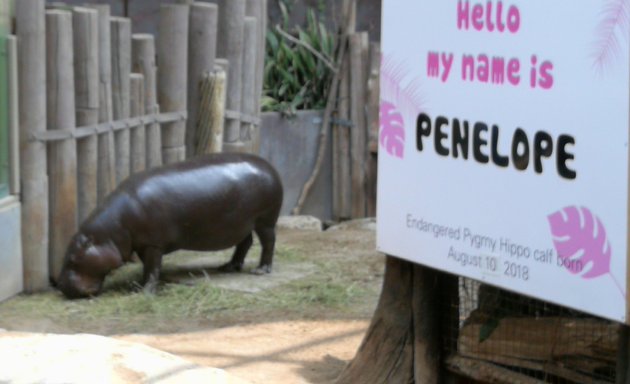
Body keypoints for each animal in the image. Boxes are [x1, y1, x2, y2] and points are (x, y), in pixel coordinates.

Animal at [58, 152, 286, 298]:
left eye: (72, 259)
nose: (60, 286)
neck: (111, 232)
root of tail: (270, 166)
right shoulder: (143, 245)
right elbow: (149, 268)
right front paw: (138, 286)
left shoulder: (153, 244)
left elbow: (152, 269)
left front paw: (144, 292)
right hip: (241, 223)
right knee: (245, 243)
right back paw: (228, 267)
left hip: (264, 220)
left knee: (269, 242)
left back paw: (260, 270)